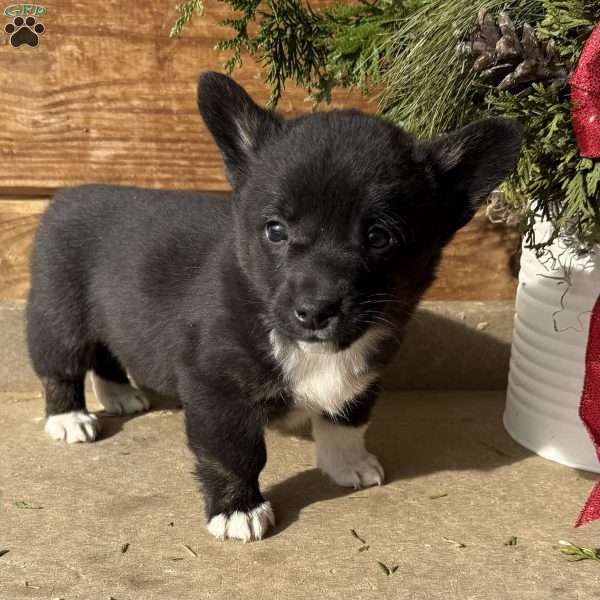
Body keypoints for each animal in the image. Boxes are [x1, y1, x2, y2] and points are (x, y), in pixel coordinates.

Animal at [27, 71, 520, 544]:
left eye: (379, 237)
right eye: (276, 230)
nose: (315, 311)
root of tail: (65, 195)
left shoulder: (363, 379)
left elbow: (346, 421)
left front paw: (348, 465)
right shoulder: (217, 390)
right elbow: (235, 453)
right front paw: (238, 511)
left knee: (107, 351)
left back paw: (118, 394)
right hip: (60, 316)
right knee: (62, 367)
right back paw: (70, 418)